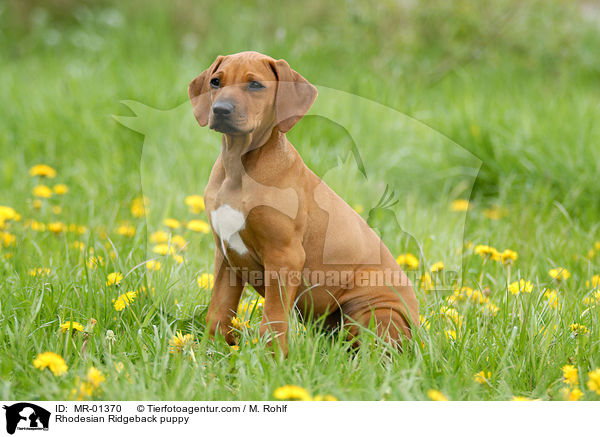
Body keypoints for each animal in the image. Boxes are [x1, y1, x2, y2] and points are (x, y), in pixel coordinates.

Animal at [190, 50, 420, 354]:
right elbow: (218, 311)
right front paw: (209, 352)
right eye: (216, 82)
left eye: (255, 85)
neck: (239, 168)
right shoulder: (226, 255)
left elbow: (273, 318)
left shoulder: (285, 256)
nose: (221, 110)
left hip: (376, 310)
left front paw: (271, 358)